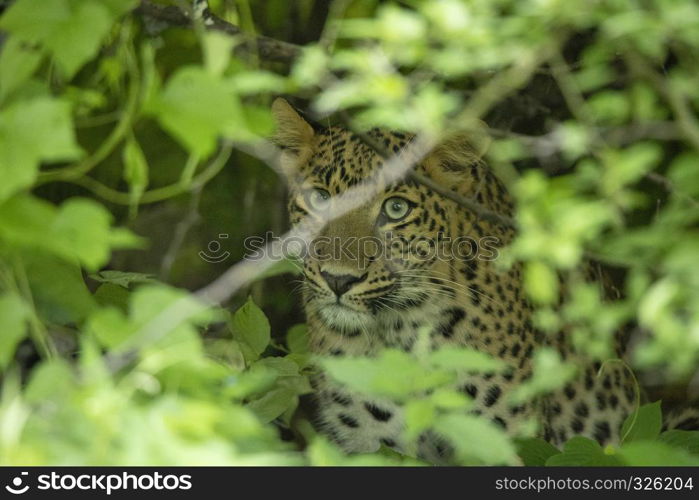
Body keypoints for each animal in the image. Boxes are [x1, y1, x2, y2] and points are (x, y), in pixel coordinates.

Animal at [272, 97, 688, 464]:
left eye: (396, 208)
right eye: (320, 199)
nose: (337, 280)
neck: (400, 331)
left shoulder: (504, 439)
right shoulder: (371, 441)